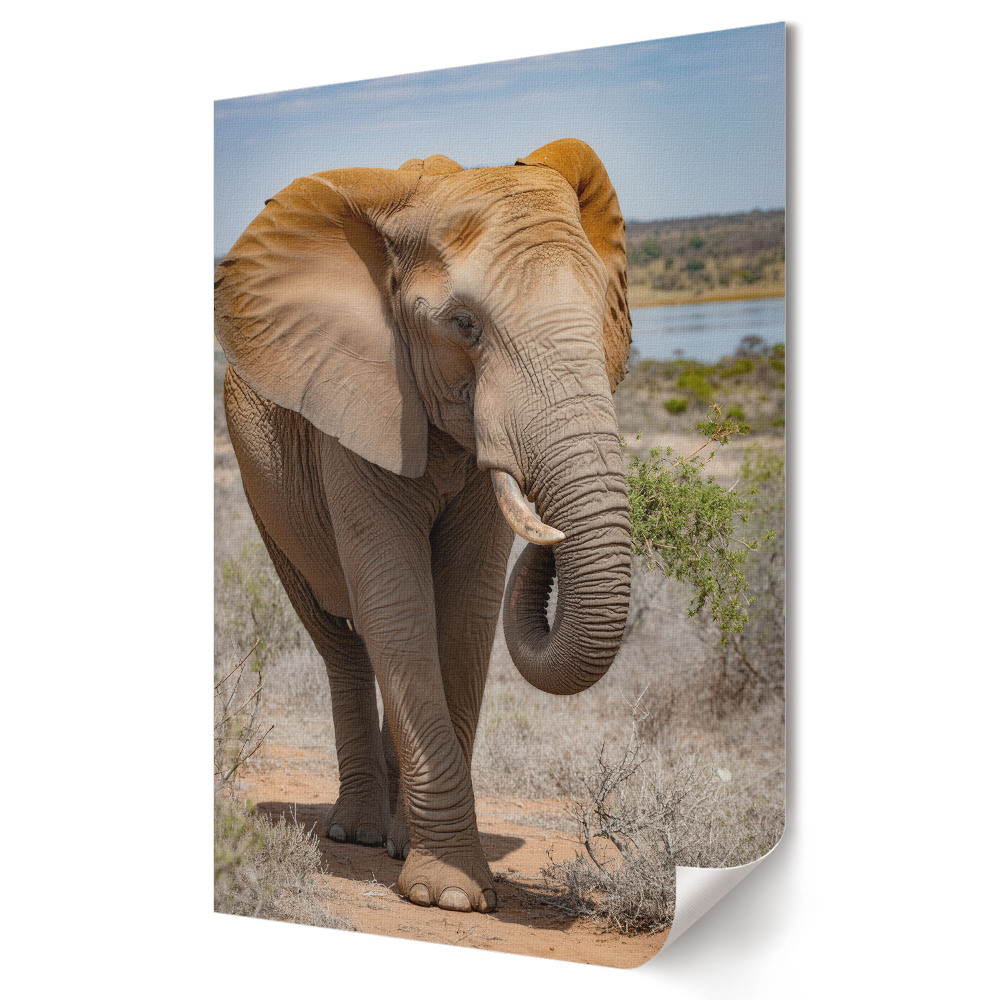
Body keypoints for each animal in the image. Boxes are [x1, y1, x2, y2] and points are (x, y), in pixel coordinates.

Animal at [214, 138, 632, 914]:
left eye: (604, 310)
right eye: (464, 326)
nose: (551, 537)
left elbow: (464, 607)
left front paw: (437, 875)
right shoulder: (352, 403)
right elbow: (398, 600)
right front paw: (452, 897)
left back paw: (391, 836)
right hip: (264, 487)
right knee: (341, 641)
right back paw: (355, 833)